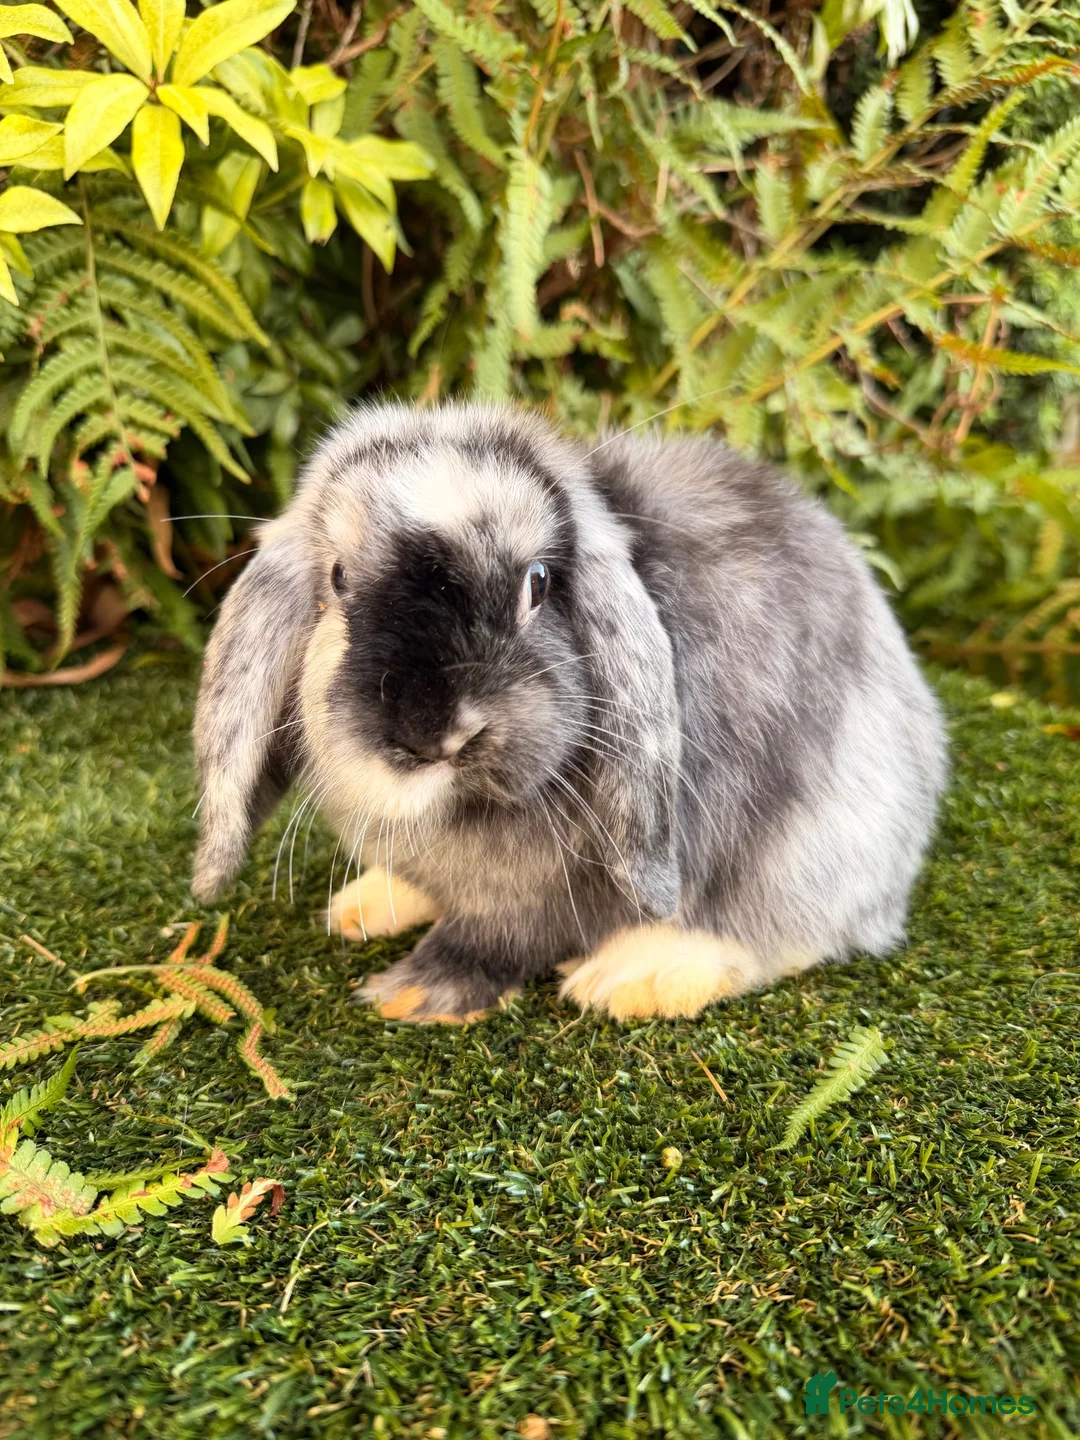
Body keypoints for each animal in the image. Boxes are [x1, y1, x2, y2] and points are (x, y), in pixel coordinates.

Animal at [192, 401, 947, 1023]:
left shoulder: (543, 897)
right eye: (339, 579)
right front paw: (367, 911)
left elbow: (495, 939)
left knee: (783, 936)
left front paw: (413, 995)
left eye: (538, 582)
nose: (436, 735)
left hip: (818, 849)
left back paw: (634, 978)